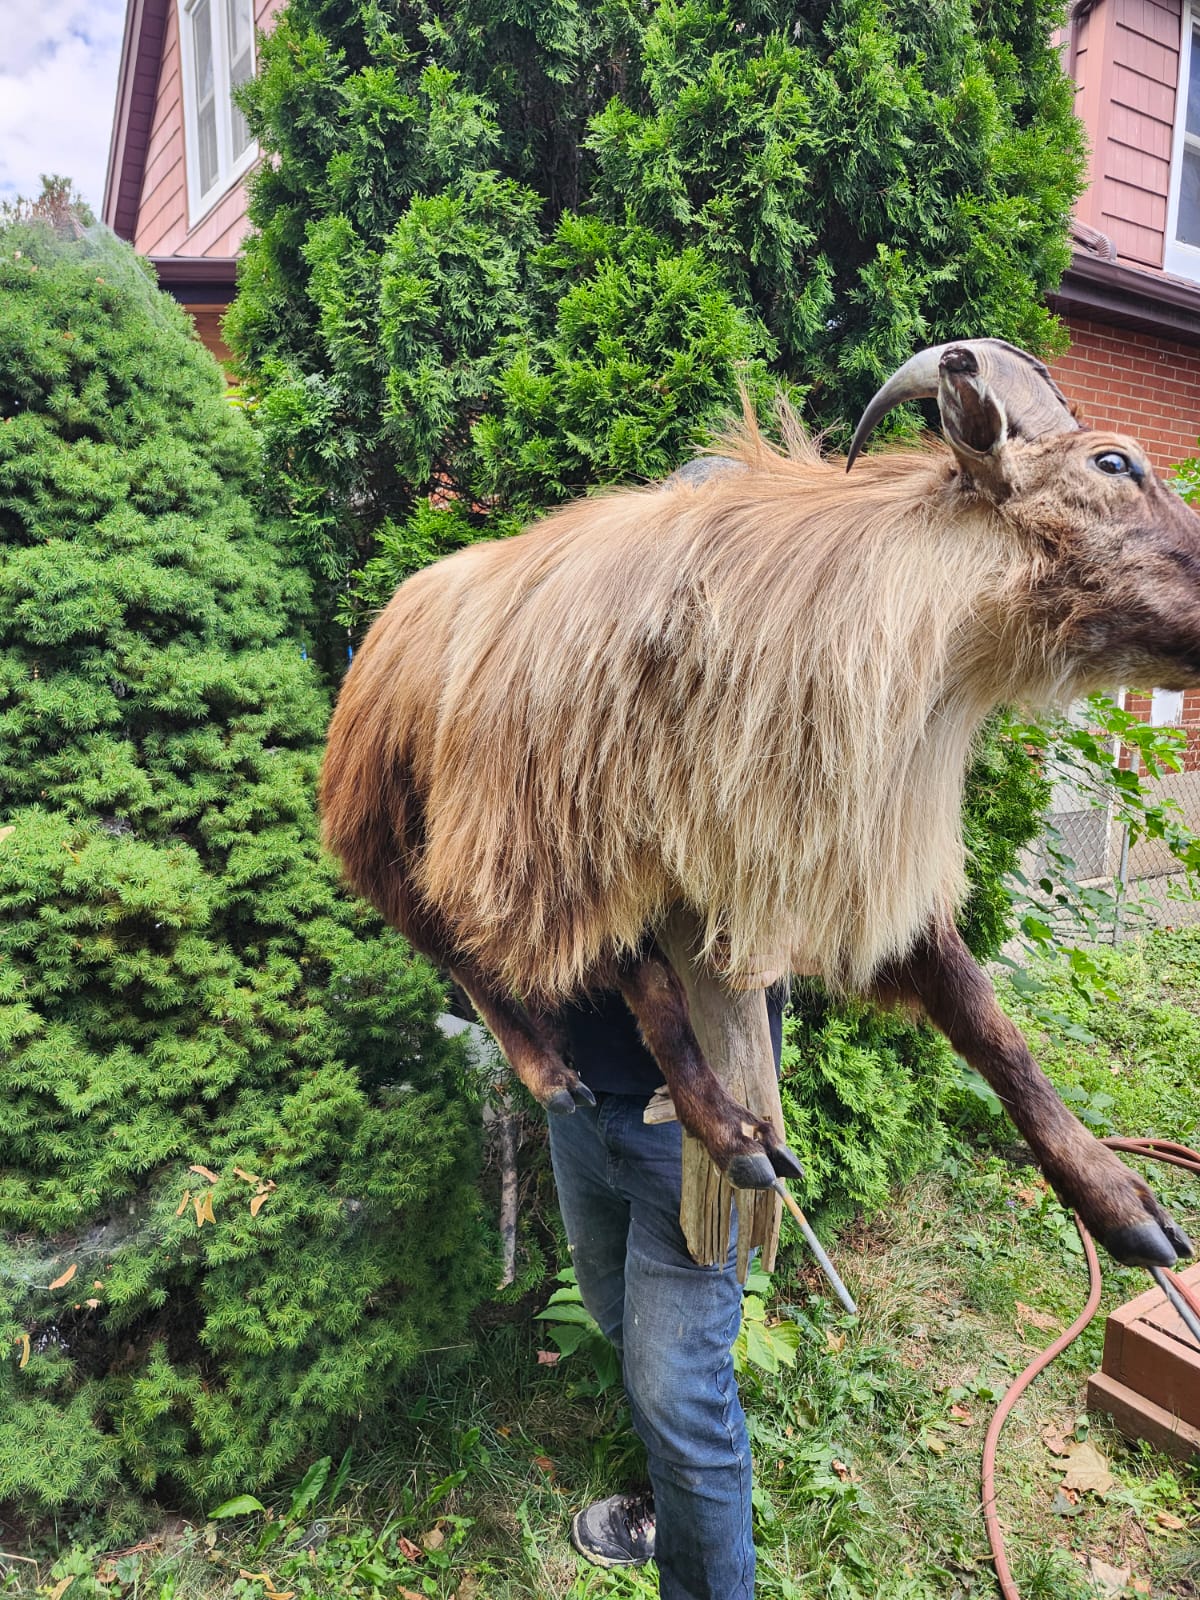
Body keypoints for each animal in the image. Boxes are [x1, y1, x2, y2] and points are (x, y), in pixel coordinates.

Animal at [321, 340, 1197, 1270]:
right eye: (1113, 462)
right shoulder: (582, 846)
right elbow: (659, 1004)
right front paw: (736, 1140)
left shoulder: (846, 858)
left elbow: (986, 1019)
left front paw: (1123, 1204)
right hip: (386, 835)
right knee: (454, 951)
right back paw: (550, 1076)